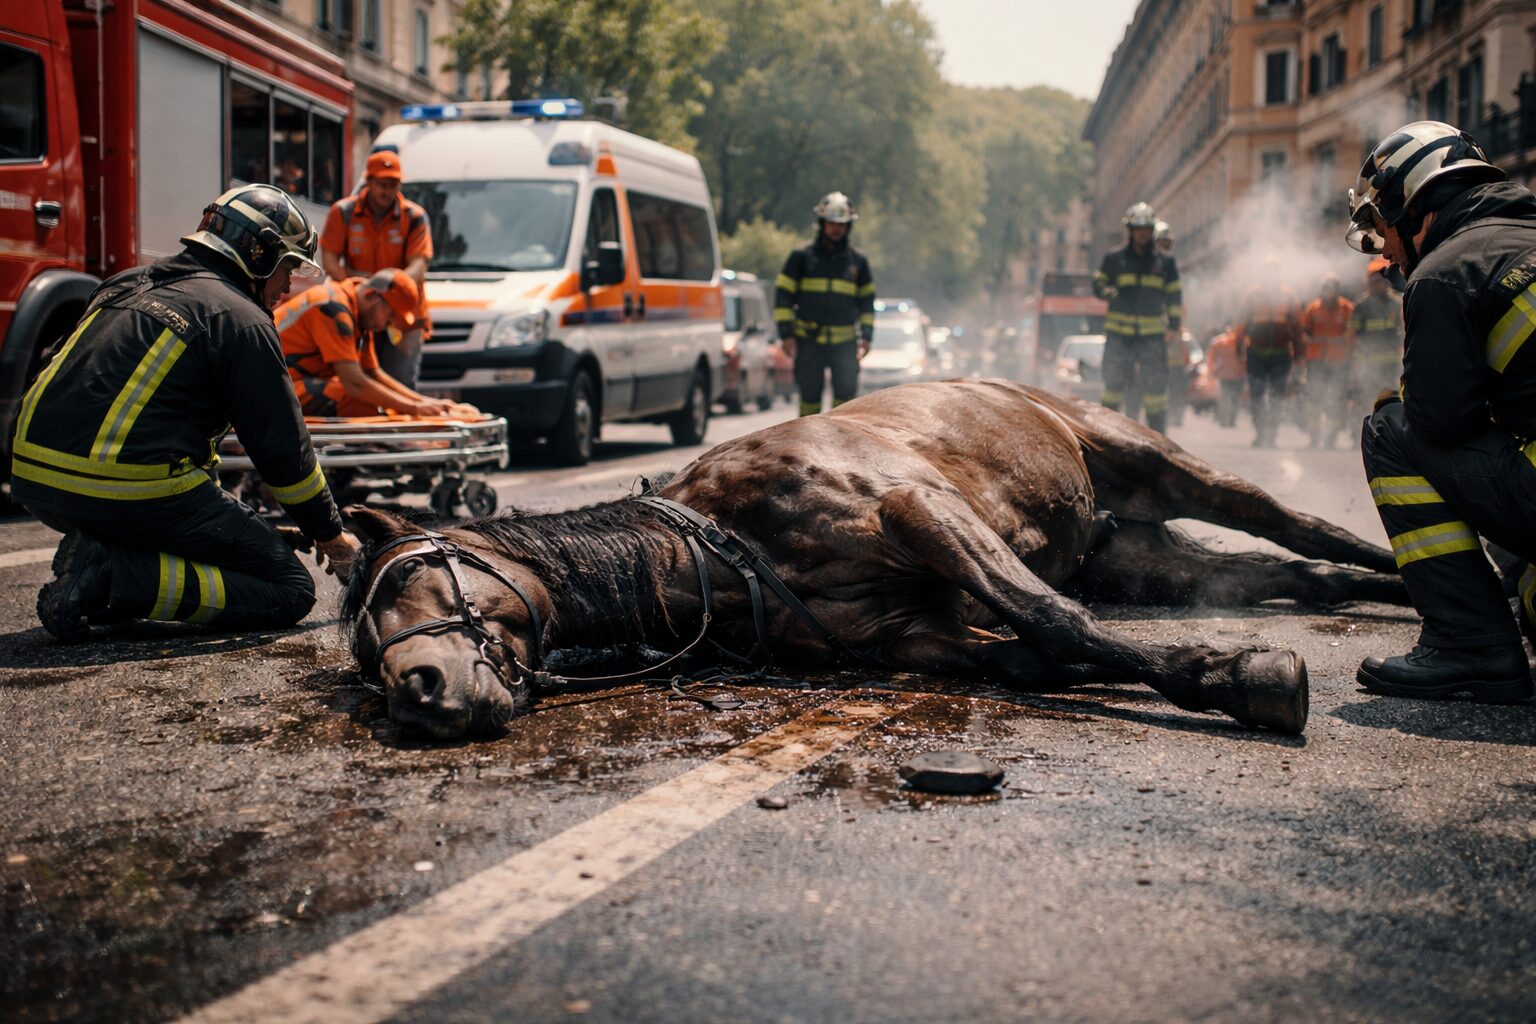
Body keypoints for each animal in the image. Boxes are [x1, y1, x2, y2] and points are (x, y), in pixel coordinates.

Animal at [342, 380, 1408, 740]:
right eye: (361, 652)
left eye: (409, 578)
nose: (418, 690)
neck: (718, 552)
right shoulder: (923, 637)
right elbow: (1042, 653)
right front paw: (1217, 669)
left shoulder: (920, 508)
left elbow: (1052, 619)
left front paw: (1242, 678)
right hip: (1133, 554)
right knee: (1290, 574)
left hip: (1150, 461)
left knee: (1294, 525)